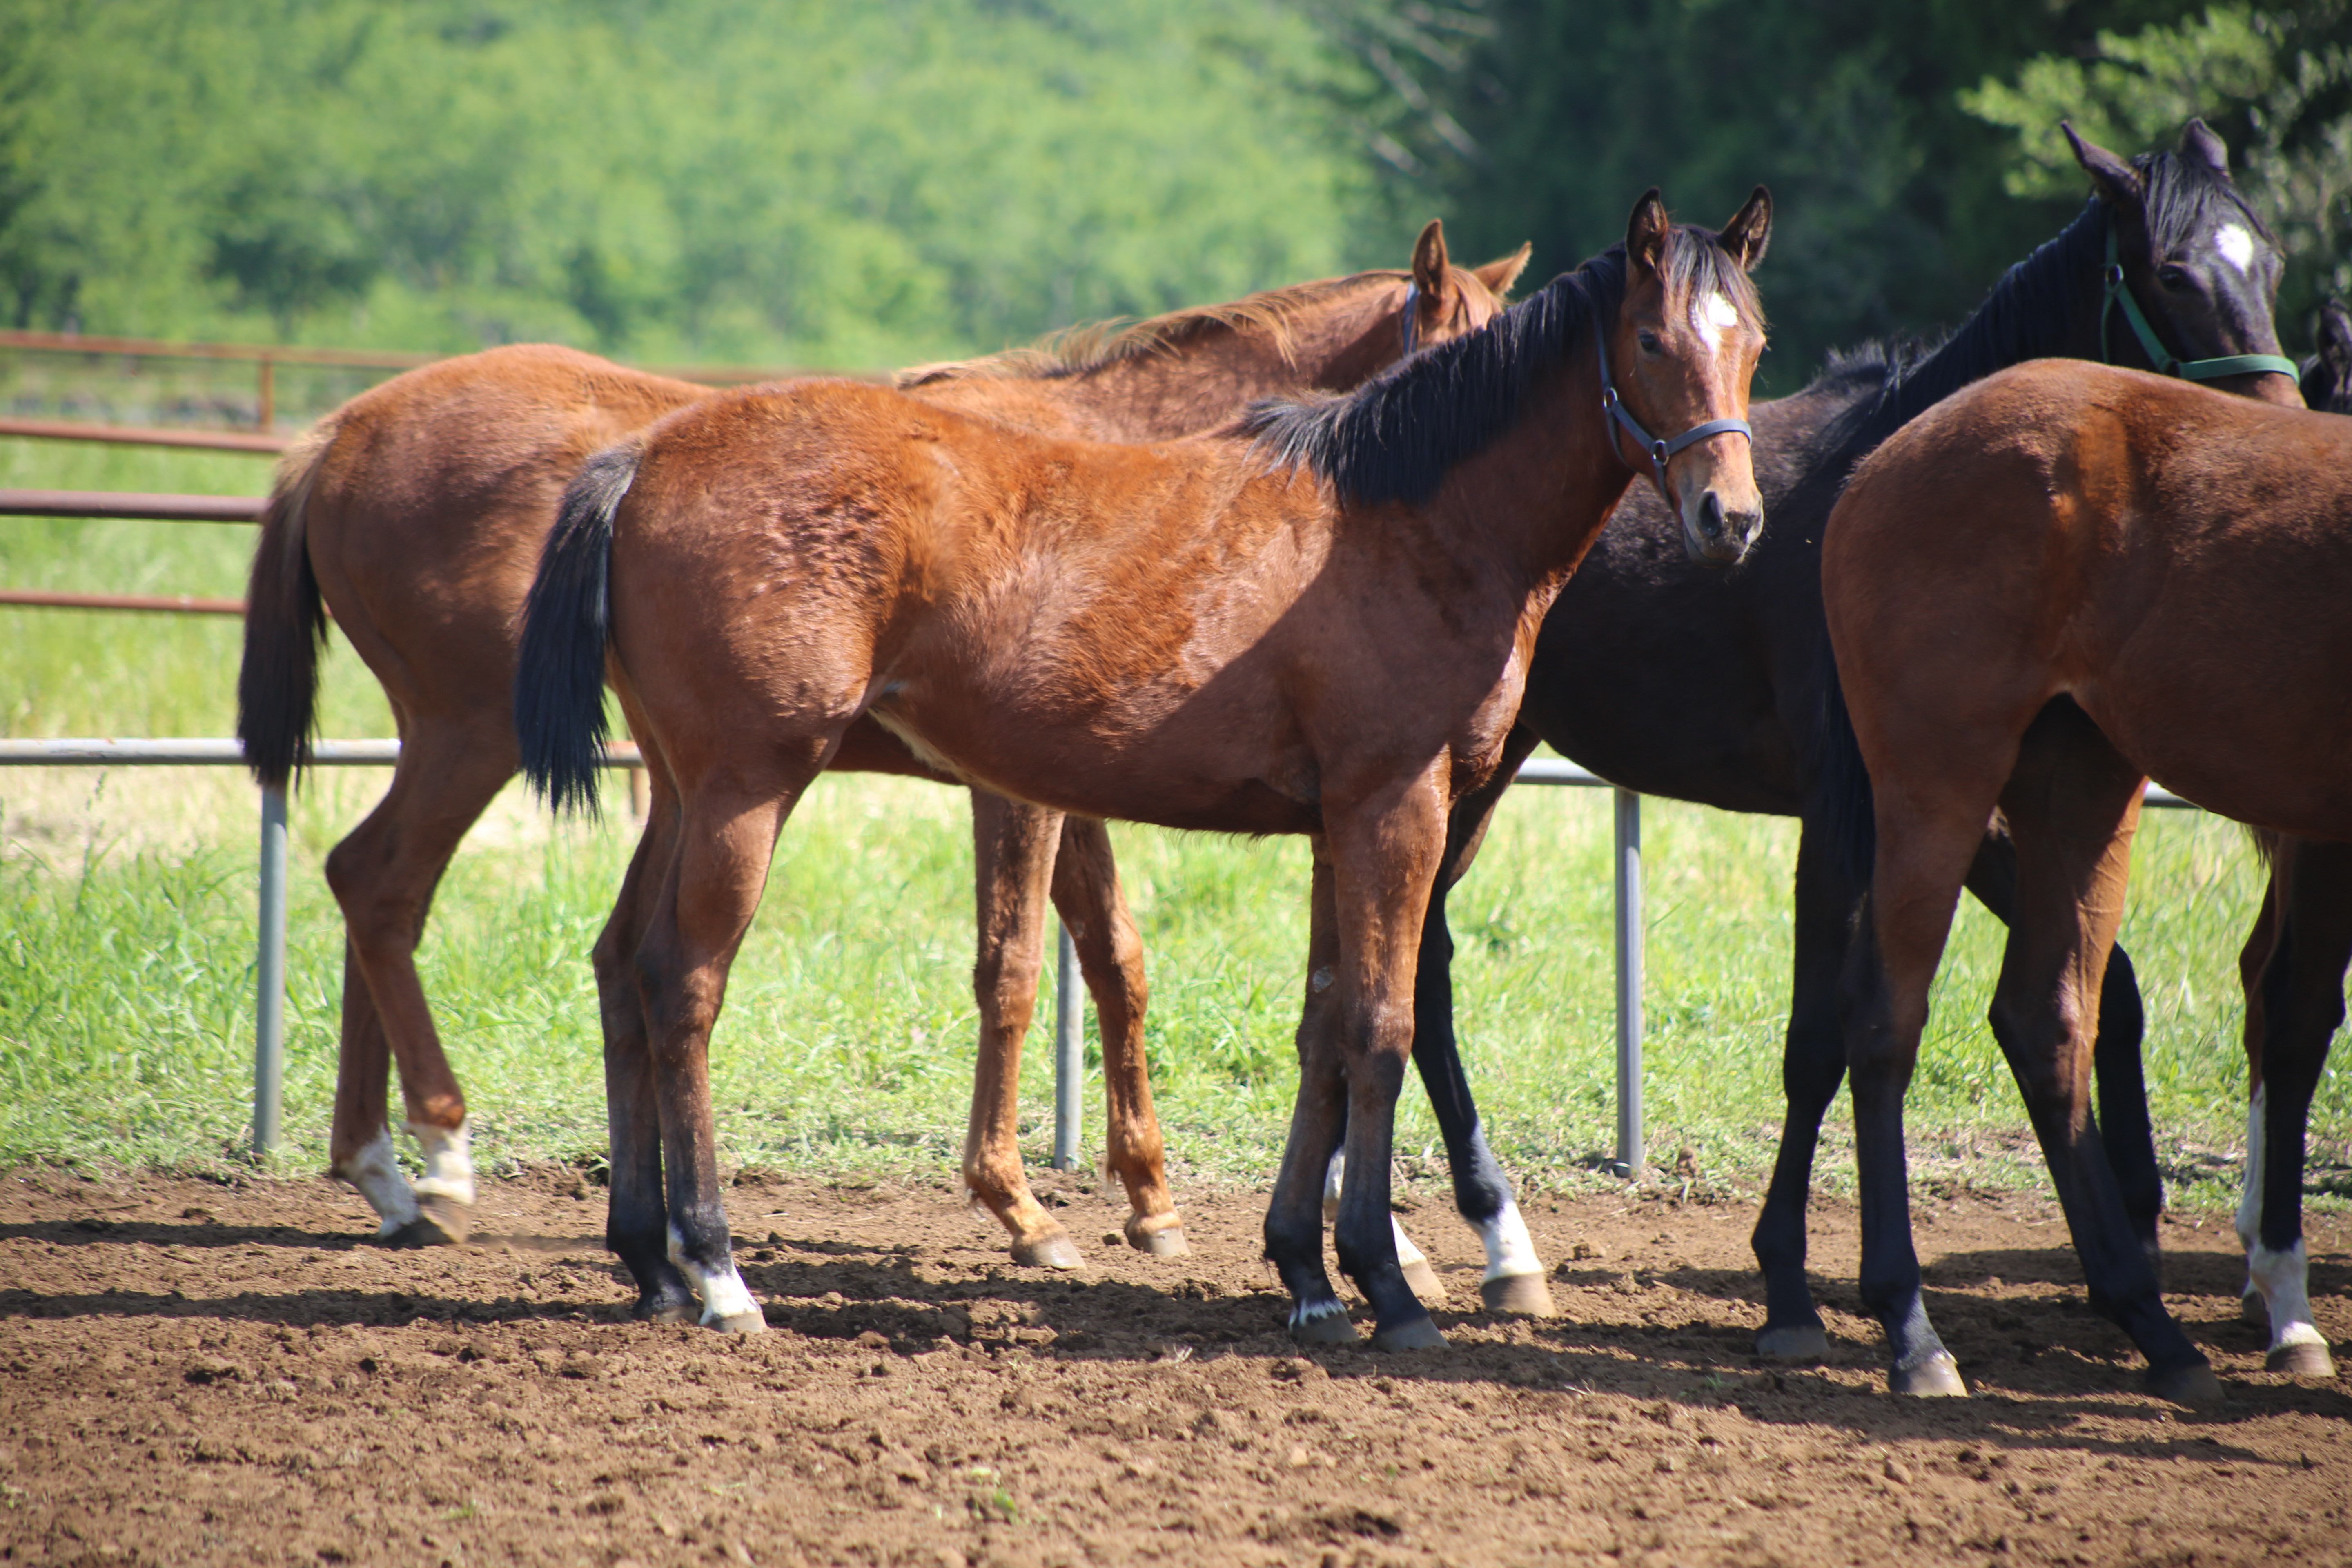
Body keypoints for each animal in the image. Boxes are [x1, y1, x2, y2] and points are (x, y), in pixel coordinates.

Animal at [238, 223, 1524, 1278]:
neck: (1135, 467)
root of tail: (337, 433)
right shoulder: (1018, 797)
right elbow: (1013, 971)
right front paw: (1022, 1207)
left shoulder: (1076, 790)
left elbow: (1116, 961)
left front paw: (1152, 1199)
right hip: (475, 735)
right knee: (386, 885)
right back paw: (436, 1152)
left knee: (390, 891)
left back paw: (390, 1171)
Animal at [515, 193, 1768, 1354]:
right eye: (1651, 340)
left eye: (1751, 339)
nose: (1732, 518)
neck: (1410, 515)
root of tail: (644, 456)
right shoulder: (1393, 808)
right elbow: (1379, 1028)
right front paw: (1386, 1283)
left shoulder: (1335, 826)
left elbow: (1318, 1028)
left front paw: (1305, 1273)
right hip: (748, 792)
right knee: (684, 985)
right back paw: (719, 1271)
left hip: (683, 793)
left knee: (624, 965)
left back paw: (651, 1261)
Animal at [1373, 120, 2295, 1373]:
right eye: (2170, 272)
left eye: (2270, 263)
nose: (2274, 433)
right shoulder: (1848, 809)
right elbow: (1822, 1032)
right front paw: (1799, 1290)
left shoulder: (1974, 807)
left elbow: (2107, 991)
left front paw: (2133, 1236)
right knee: (1414, 967)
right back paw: (1479, 1242)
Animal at [1815, 362, 2352, 1401]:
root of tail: (1879, 462)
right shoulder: (2325, 836)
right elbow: (2297, 1019)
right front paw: (2283, 1295)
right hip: (1939, 783)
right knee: (1886, 1022)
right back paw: (1912, 1331)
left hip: (2082, 787)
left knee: (2046, 1017)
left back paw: (2151, 1322)